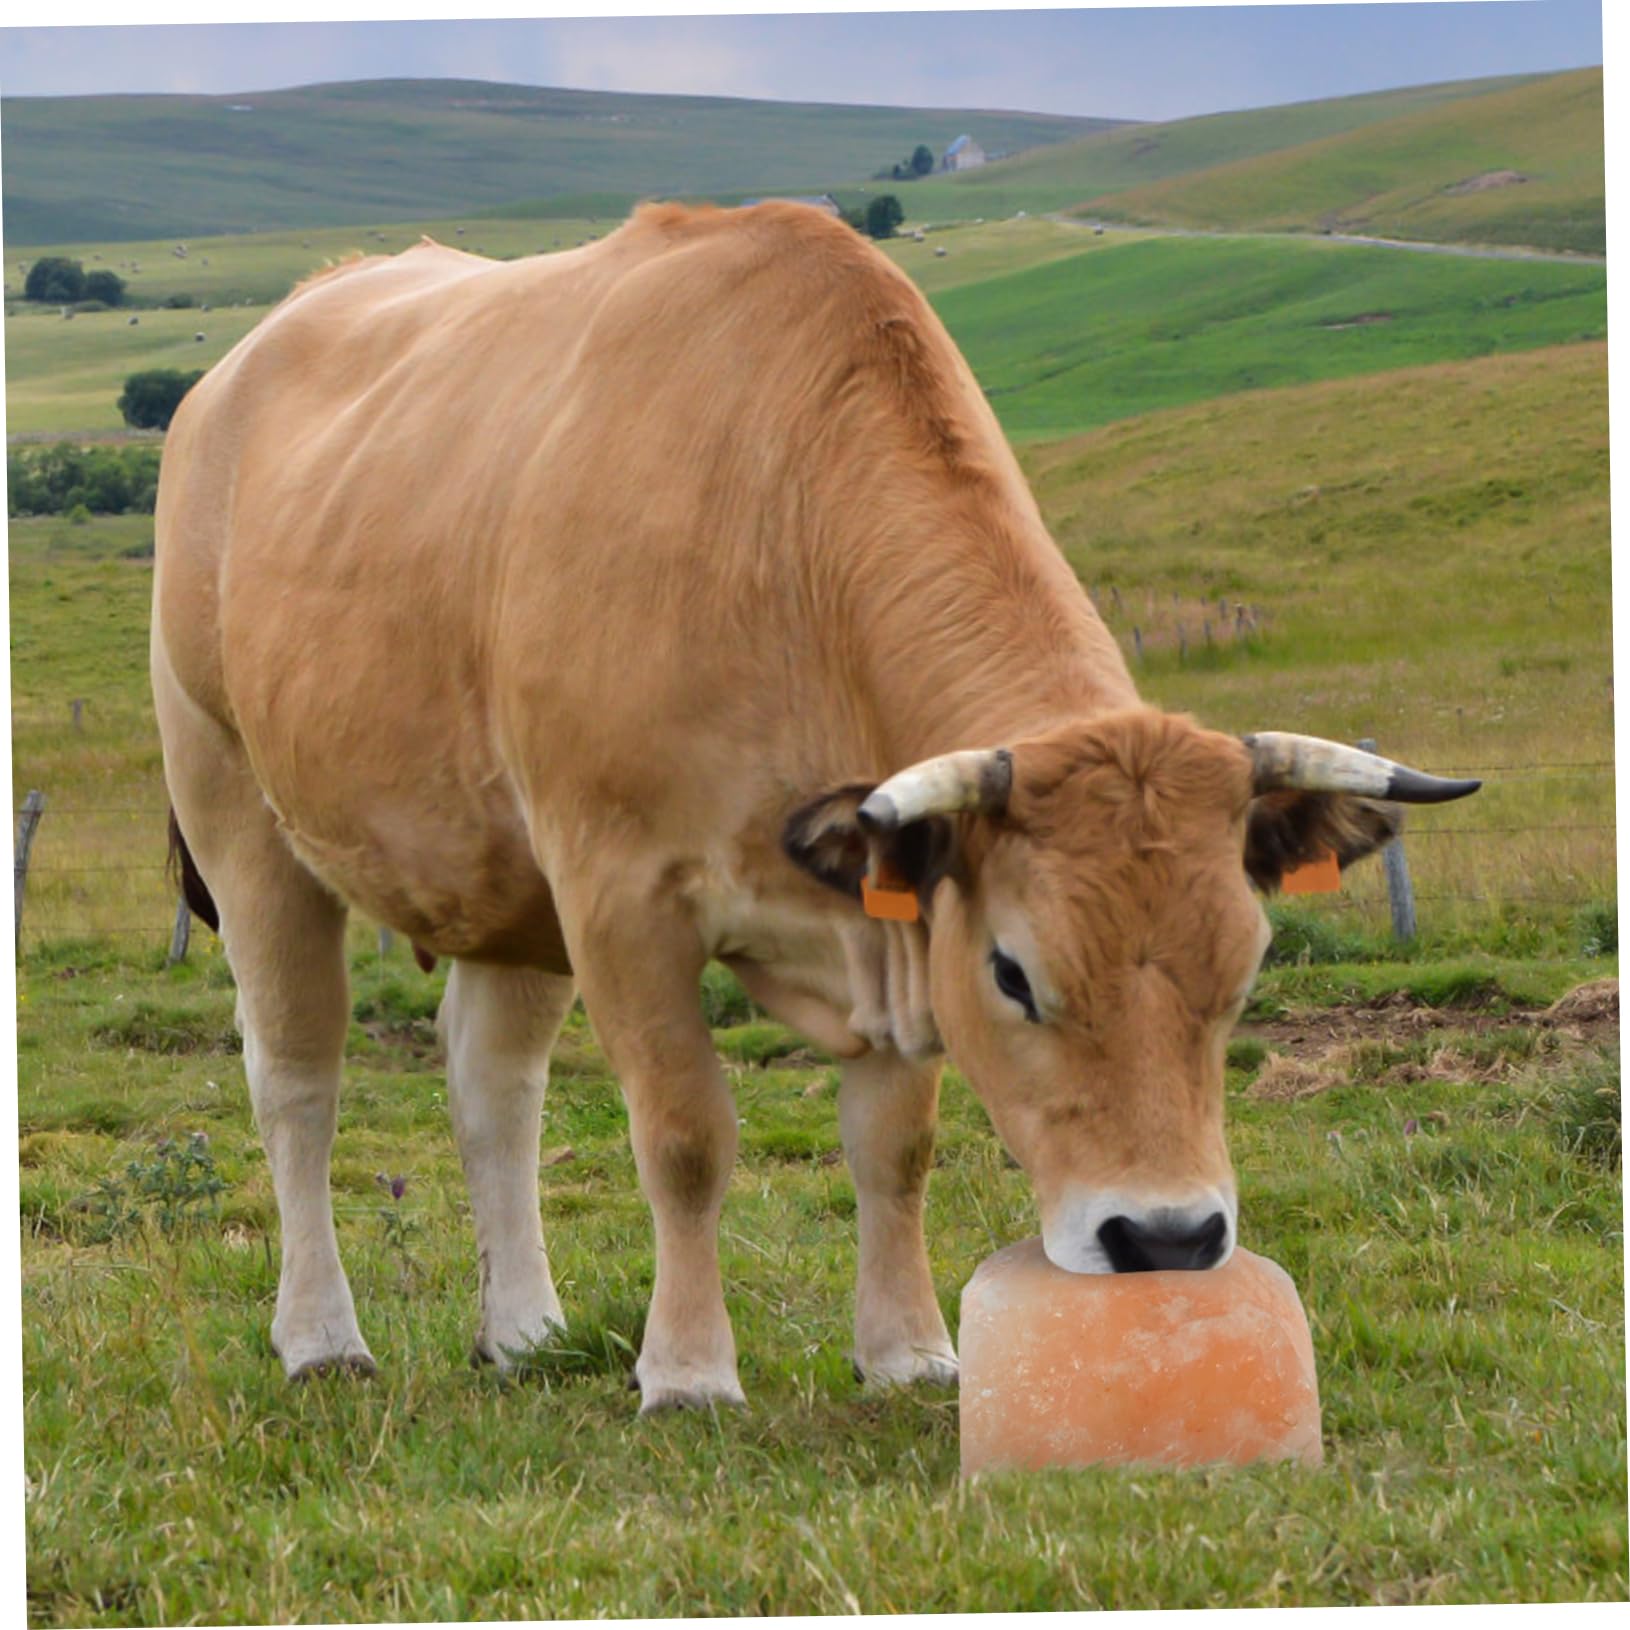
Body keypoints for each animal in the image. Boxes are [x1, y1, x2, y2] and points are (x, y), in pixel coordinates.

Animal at [151, 202, 1478, 1412]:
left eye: (1243, 970)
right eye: (1014, 974)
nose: (1165, 1239)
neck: (777, 539)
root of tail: (250, 352)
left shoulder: (888, 908)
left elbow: (894, 1148)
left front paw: (904, 1351)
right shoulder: (619, 894)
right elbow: (685, 1138)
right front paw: (688, 1370)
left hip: (498, 879)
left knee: (493, 1087)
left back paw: (522, 1329)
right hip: (242, 818)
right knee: (298, 1079)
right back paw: (321, 1337)